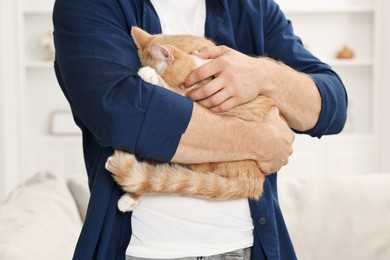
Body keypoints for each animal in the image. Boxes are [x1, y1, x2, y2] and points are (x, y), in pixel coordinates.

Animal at [105, 27, 276, 212]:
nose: (144, 70)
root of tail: (253, 179)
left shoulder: (193, 99)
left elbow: (170, 89)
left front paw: (150, 75)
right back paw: (129, 198)